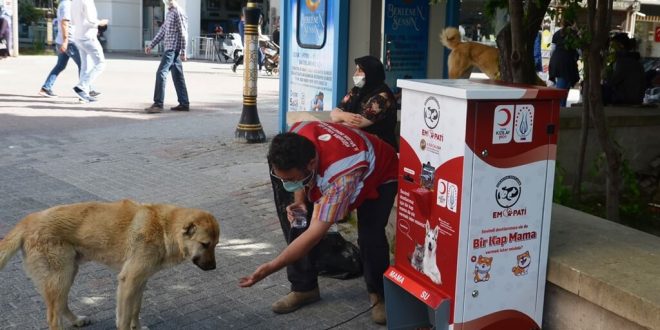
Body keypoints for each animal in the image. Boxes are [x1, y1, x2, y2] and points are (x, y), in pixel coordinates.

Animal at [0, 200, 222, 330]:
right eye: (205, 244)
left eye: (216, 244)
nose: (213, 268)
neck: (165, 229)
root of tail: (28, 220)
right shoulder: (128, 282)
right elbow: (124, 318)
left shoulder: (140, 282)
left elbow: (135, 310)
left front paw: (136, 327)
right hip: (60, 276)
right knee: (53, 317)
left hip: (68, 273)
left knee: (61, 304)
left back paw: (76, 320)